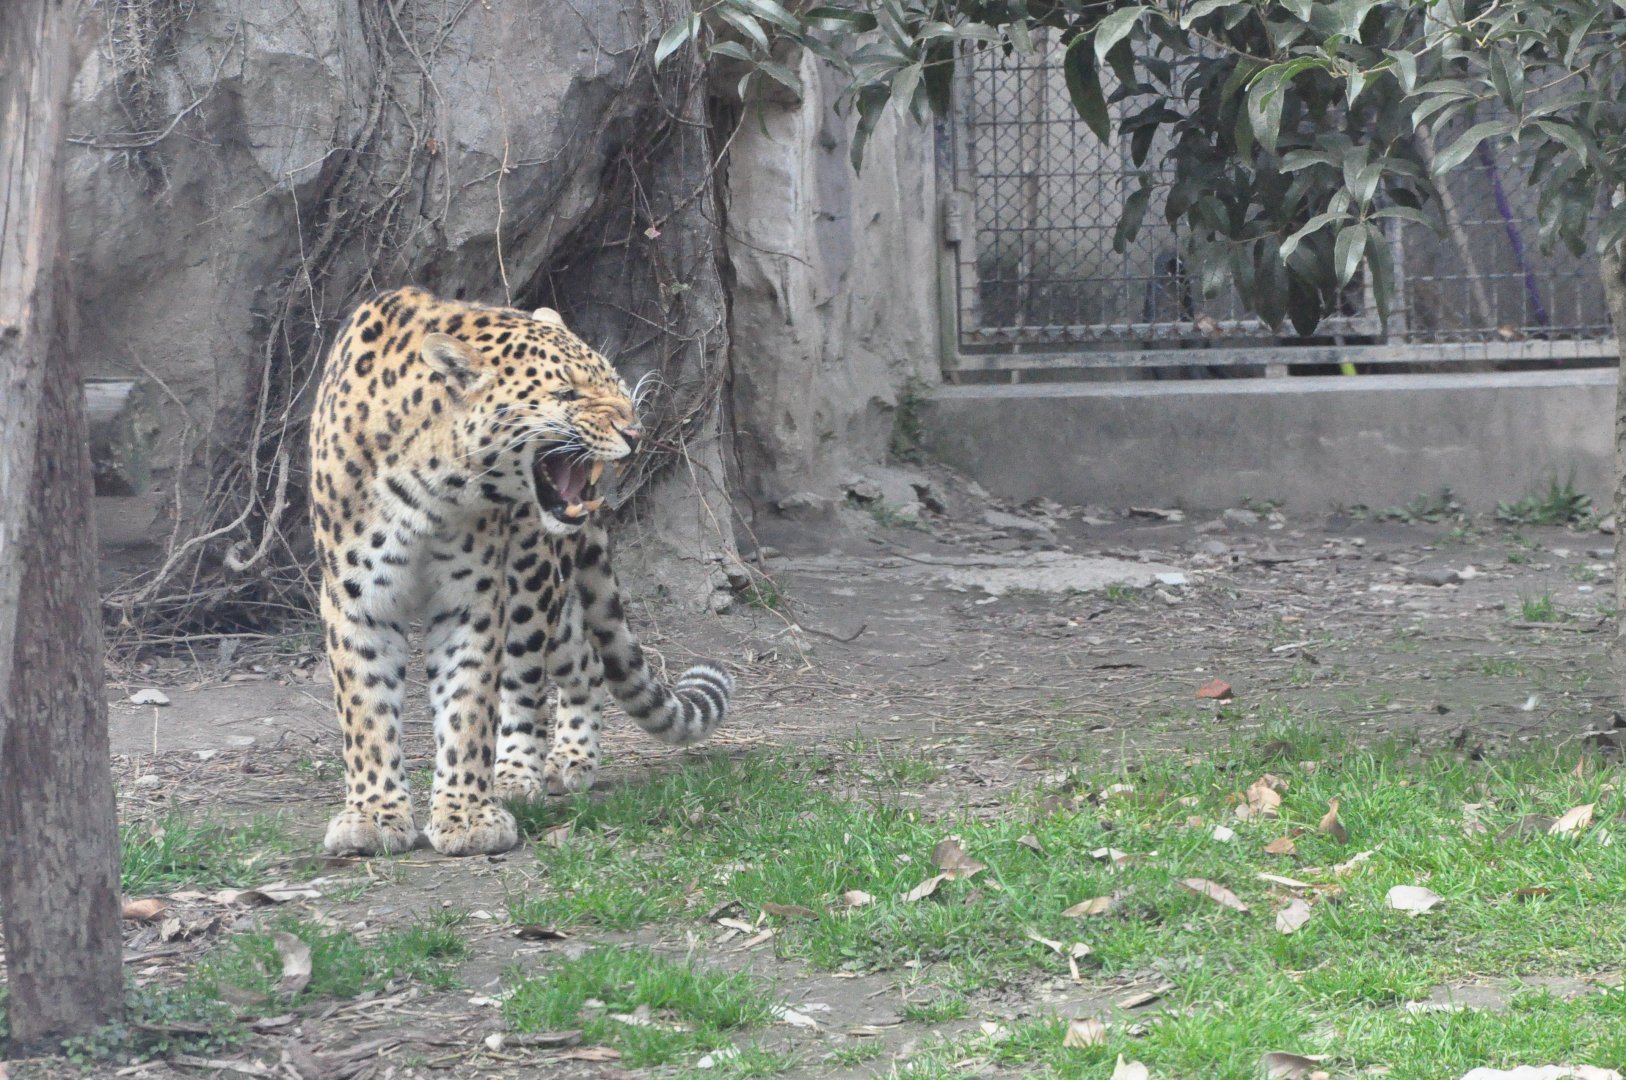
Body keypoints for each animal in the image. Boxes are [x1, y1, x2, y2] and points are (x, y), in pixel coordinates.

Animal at [308, 286, 732, 856]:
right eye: (568, 393)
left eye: (615, 385)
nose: (636, 431)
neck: (430, 487)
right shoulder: (358, 598)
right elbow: (366, 708)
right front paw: (373, 814)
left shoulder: (472, 600)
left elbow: (468, 706)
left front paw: (467, 814)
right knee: (583, 657)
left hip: (533, 575)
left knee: (552, 670)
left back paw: (531, 769)